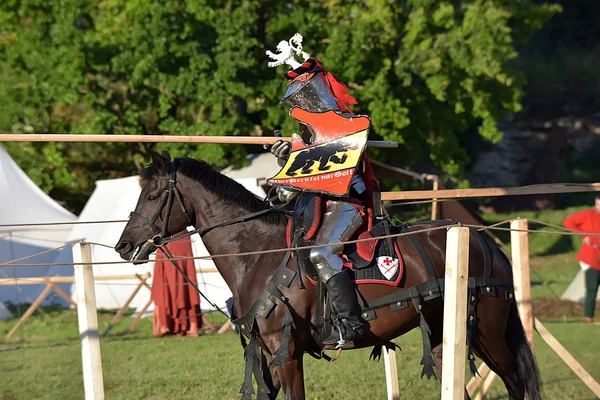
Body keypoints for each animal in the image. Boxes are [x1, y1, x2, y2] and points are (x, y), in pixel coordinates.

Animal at [115, 152, 540, 400]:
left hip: (488, 332)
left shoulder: (286, 355)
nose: (123, 246)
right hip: (443, 336)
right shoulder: (267, 357)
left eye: (152, 196)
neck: (258, 254)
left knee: (517, 384)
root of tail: (483, 241)